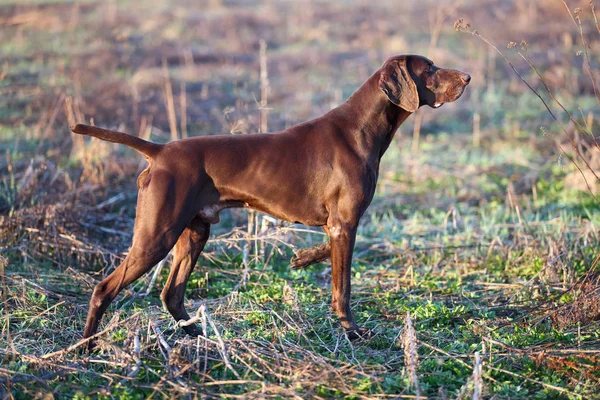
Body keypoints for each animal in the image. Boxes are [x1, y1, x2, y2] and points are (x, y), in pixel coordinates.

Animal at [71, 54, 468, 346]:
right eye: (429, 69)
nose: (467, 77)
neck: (362, 129)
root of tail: (160, 151)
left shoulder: (338, 226)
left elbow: (324, 253)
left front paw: (301, 258)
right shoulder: (345, 223)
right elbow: (343, 288)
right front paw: (352, 331)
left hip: (194, 232)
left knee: (171, 293)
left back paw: (195, 332)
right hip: (156, 236)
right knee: (104, 288)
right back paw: (86, 347)